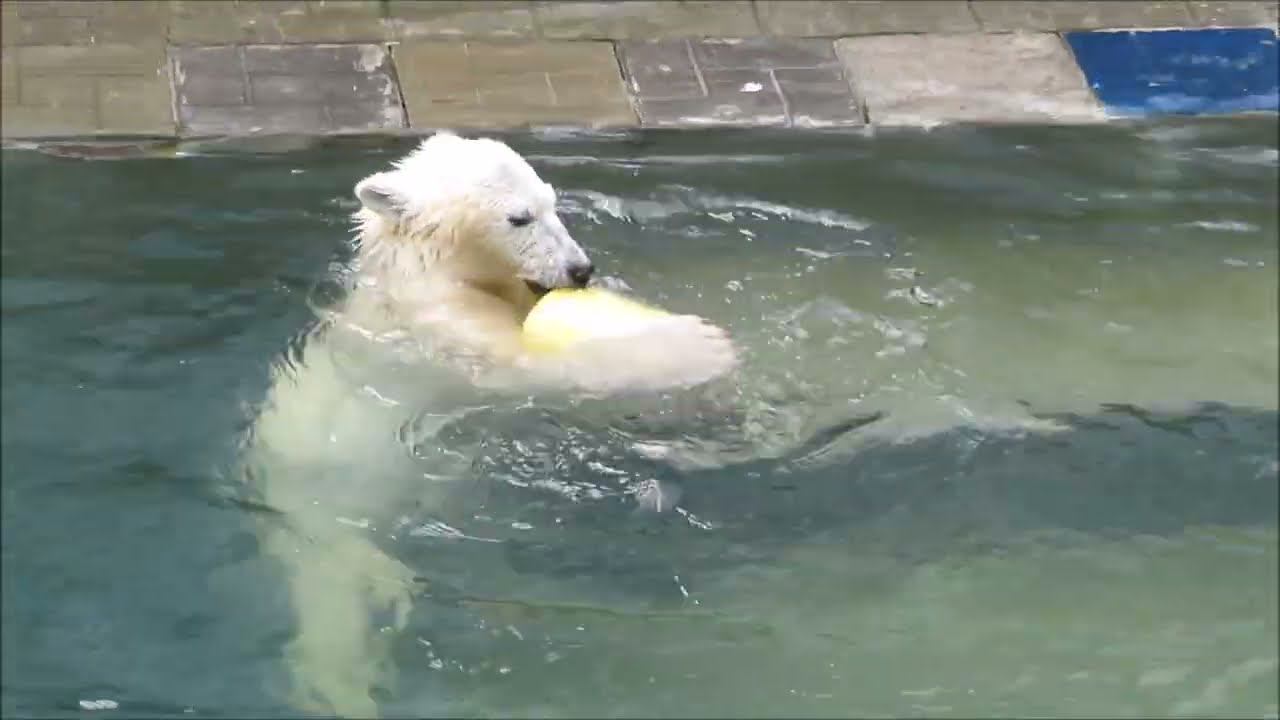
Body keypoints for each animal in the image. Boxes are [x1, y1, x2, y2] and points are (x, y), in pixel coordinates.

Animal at [240, 132, 737, 716]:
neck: (422, 276)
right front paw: (699, 345)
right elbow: (532, 368)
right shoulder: (446, 335)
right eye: (519, 217)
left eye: (552, 201)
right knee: (335, 599)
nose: (581, 269)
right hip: (325, 510)